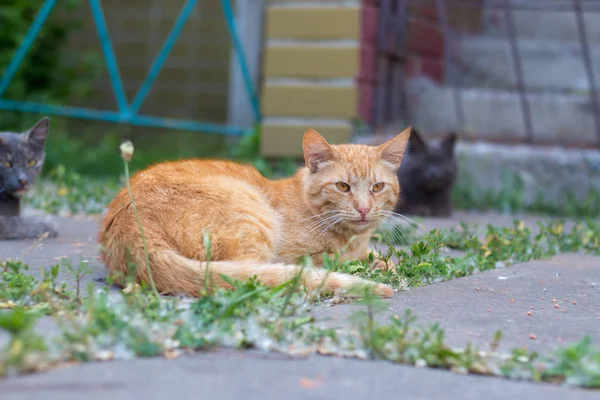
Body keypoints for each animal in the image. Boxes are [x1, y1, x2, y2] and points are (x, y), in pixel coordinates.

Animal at [99, 127, 412, 296]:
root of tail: (130, 227)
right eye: (343, 186)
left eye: (377, 187)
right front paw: (378, 265)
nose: (363, 208)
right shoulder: (301, 256)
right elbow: (344, 259)